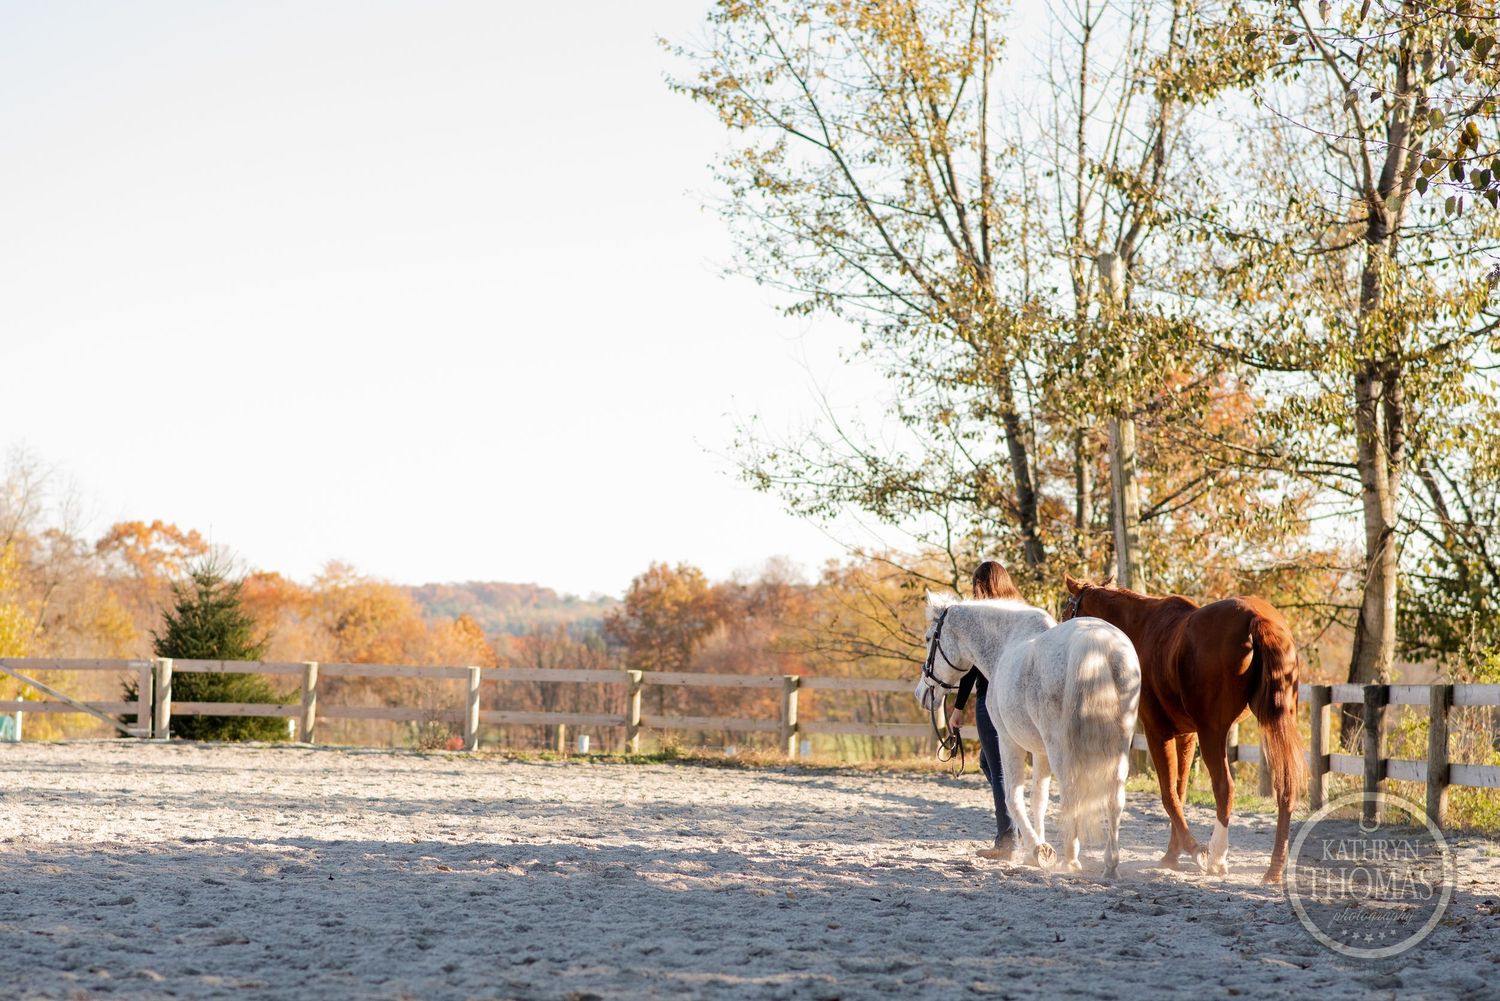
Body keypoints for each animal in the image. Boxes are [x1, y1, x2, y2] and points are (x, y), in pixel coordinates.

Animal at [915, 593, 1141, 877]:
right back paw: (1110, 864)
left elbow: (1012, 797)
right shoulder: (1039, 750)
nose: (921, 693)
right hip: (1119, 744)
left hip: (1061, 748)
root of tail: (1097, 643)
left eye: (928, 638)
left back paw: (1070, 860)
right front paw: (1036, 848)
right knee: (1115, 796)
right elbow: (1038, 800)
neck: (1005, 644)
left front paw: (1038, 849)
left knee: (1071, 792)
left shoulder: (1008, 741)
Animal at [1061, 576, 1304, 883]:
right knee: (1285, 786)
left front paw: (1194, 850)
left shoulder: (1158, 732)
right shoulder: (1186, 735)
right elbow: (1180, 791)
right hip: (1274, 725)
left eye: (1067, 610)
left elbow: (1168, 794)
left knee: (1224, 787)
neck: (1141, 628)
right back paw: (1274, 869)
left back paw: (1217, 857)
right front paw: (1172, 855)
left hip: (1213, 732)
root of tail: (1256, 618)